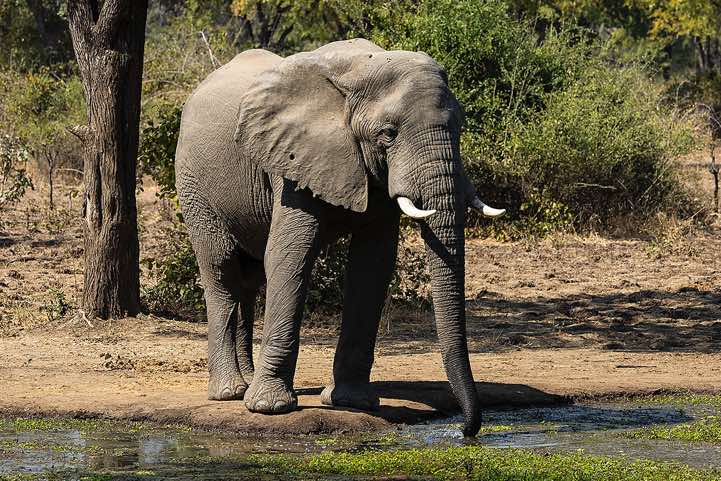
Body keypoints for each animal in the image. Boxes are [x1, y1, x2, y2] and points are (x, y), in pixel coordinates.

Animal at [174, 38, 504, 436]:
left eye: (459, 128)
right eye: (388, 133)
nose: (465, 431)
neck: (359, 71)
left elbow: (373, 264)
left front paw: (353, 403)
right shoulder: (293, 159)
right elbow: (290, 256)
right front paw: (270, 408)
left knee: (249, 278)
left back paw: (246, 383)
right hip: (193, 182)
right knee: (222, 269)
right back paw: (230, 392)